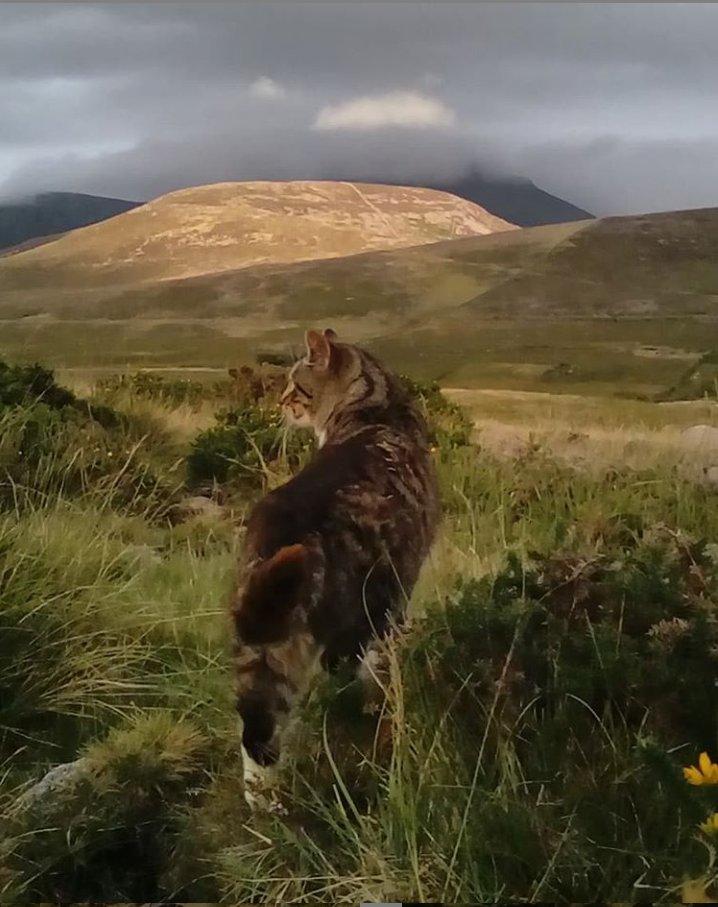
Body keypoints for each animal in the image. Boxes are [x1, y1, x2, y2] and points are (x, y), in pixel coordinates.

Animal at [231, 328, 444, 808]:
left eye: (294, 385)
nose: (280, 403)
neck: (375, 407)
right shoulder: (397, 590)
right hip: (357, 611)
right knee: (340, 687)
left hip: (265, 639)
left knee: (257, 729)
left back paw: (263, 803)